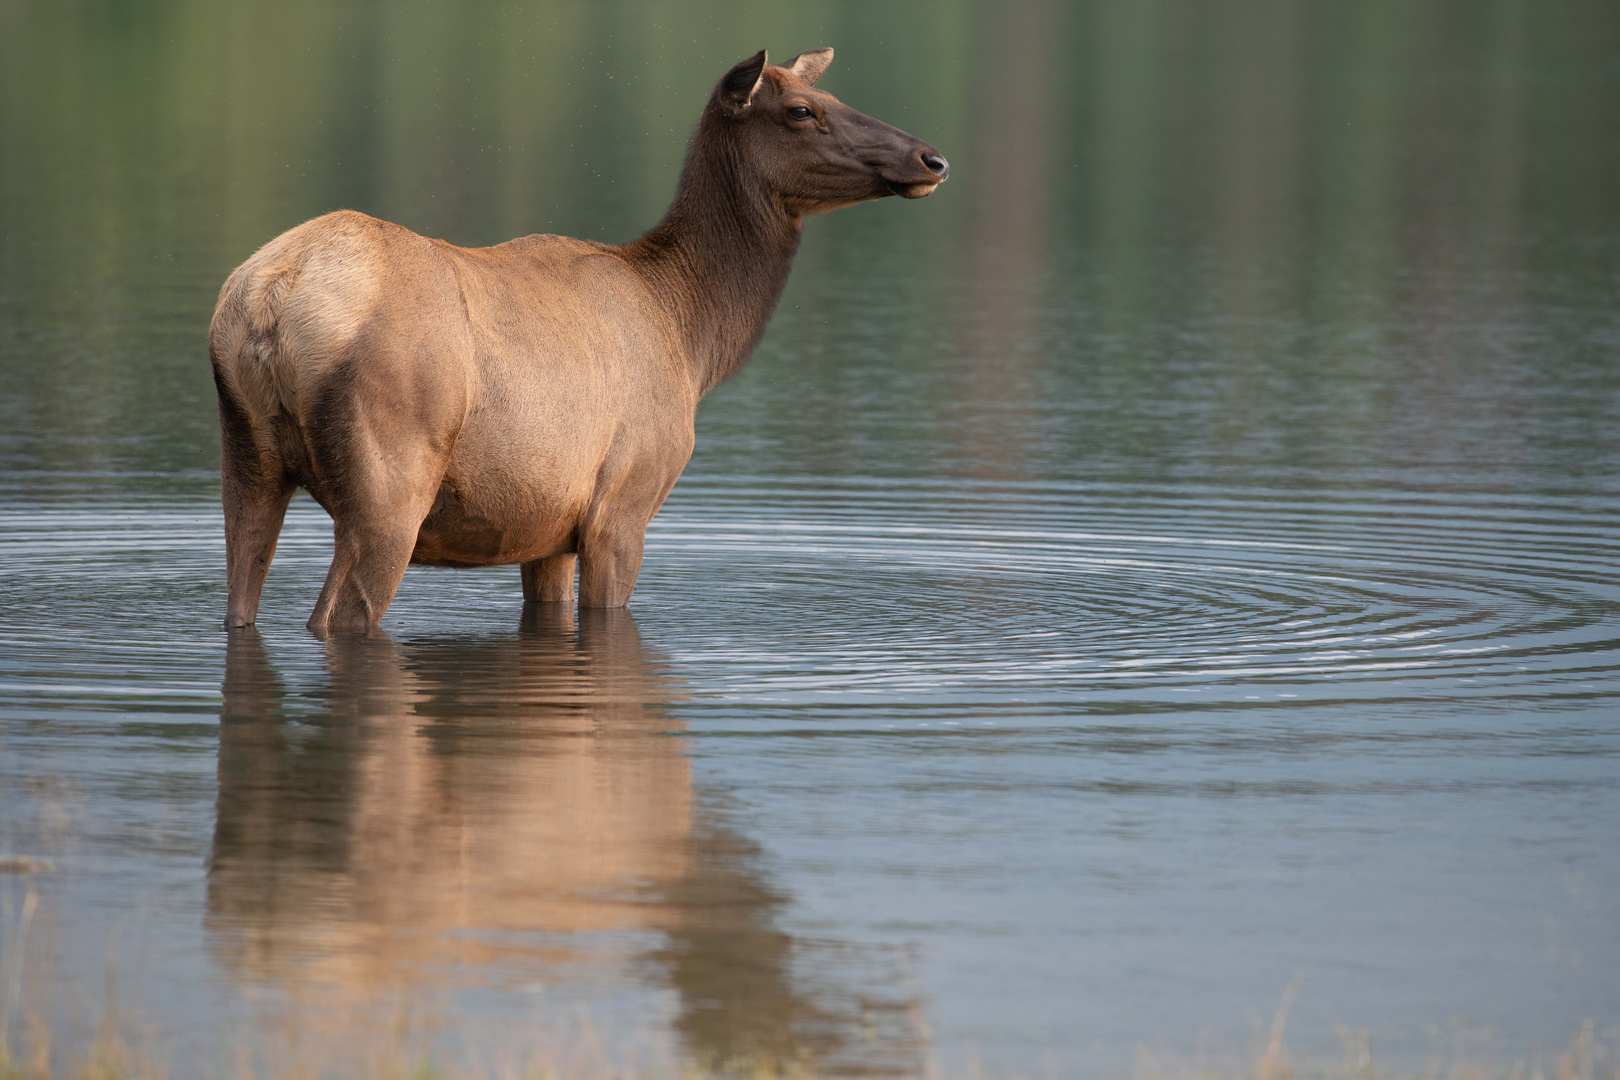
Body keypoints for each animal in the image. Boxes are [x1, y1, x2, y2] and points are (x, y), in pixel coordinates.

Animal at [213, 50, 946, 637]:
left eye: (837, 97)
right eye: (800, 109)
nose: (930, 157)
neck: (692, 335)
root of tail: (270, 301)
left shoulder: (548, 530)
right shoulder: (624, 504)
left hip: (246, 459)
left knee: (242, 597)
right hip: (389, 483)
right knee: (336, 617)